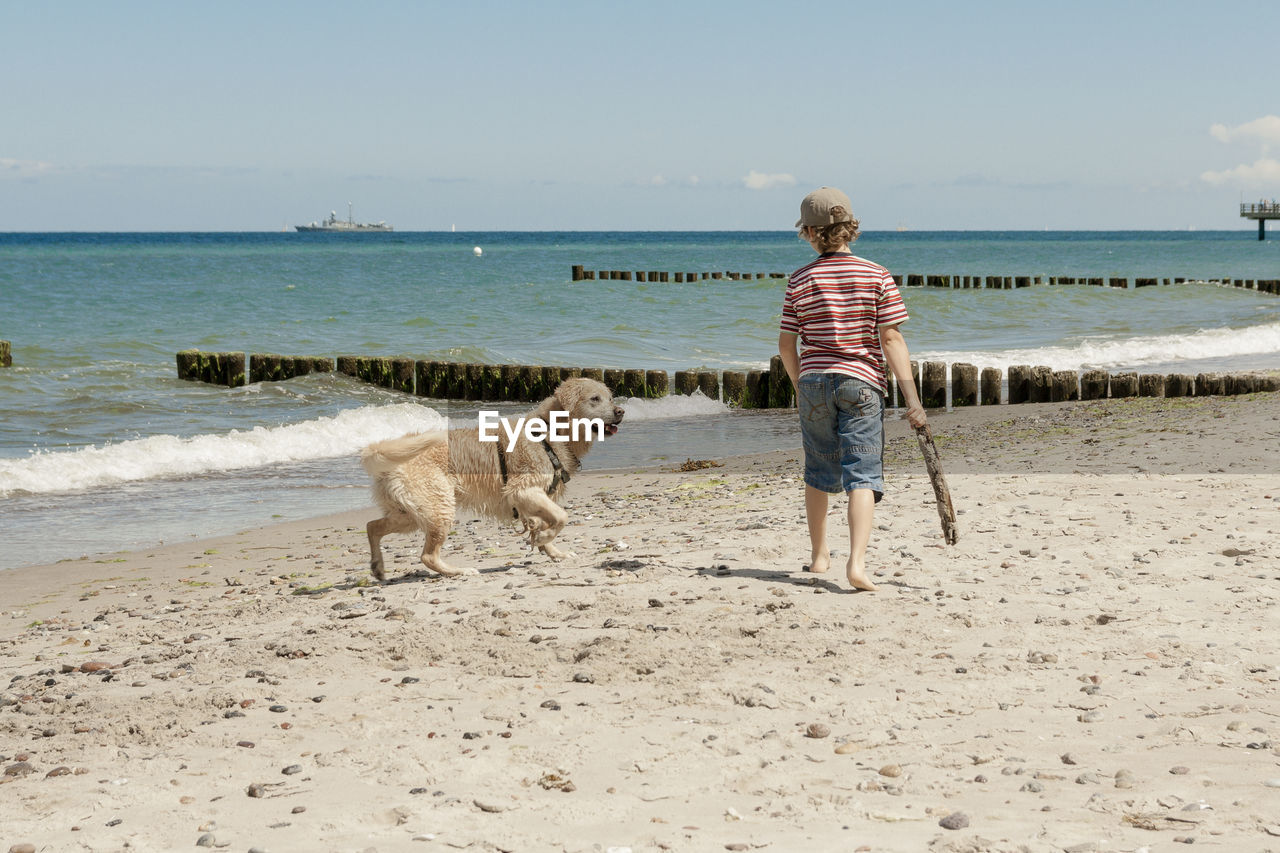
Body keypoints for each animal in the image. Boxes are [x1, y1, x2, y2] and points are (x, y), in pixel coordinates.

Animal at [360, 376, 624, 578]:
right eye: (595, 398)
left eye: (610, 398)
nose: (620, 411)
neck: (549, 432)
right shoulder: (523, 490)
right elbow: (562, 517)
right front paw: (544, 538)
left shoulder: (536, 498)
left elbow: (549, 522)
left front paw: (552, 550)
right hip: (438, 508)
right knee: (427, 556)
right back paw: (459, 571)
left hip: (411, 514)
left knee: (372, 526)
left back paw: (377, 566)